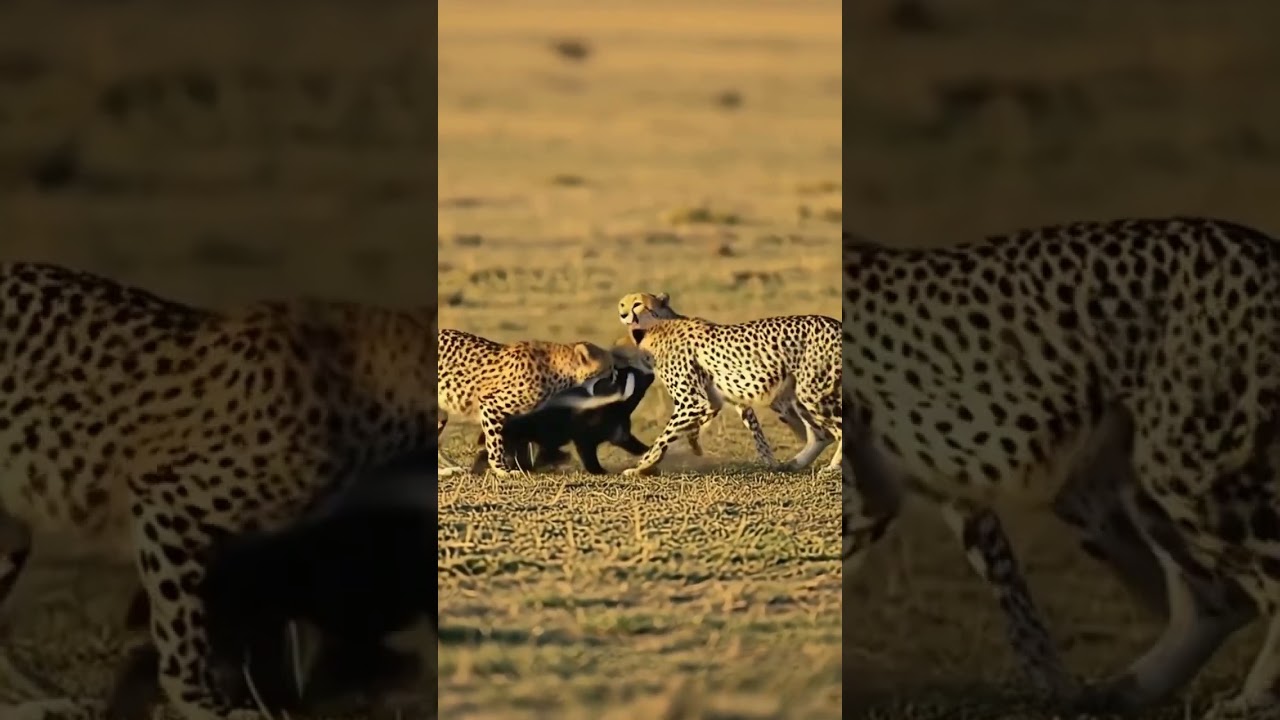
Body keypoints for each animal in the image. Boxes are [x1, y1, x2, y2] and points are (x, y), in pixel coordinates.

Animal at [436, 328, 637, 477]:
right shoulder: (490, 406)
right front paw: (502, 470)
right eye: (610, 367)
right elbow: (495, 443)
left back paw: (450, 469)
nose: (618, 375)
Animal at [617, 292, 841, 476]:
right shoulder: (717, 400)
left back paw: (831, 468)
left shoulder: (693, 402)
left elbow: (664, 437)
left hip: (813, 392)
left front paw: (642, 466)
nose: (622, 314)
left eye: (637, 304)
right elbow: (752, 433)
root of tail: (834, 323)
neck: (656, 328)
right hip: (796, 395)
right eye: (622, 304)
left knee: (836, 430)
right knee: (822, 434)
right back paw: (795, 463)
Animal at [842, 217, 1280, 719]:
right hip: (1114, 485)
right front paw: (1055, 686)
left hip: (1186, 467)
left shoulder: (870, 491)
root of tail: (1261, 247)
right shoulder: (937, 487)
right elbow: (1013, 596)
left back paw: (1249, 702)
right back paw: (1124, 690)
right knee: (1218, 598)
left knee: (1262, 586)